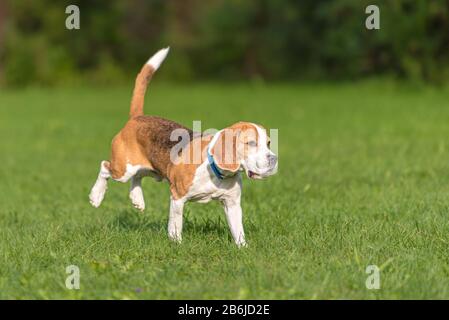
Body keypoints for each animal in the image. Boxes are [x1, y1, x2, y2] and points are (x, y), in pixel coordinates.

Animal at [88, 48, 276, 248]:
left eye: (268, 143)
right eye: (251, 143)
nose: (273, 159)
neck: (215, 171)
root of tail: (137, 118)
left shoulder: (232, 204)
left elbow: (238, 230)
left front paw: (243, 248)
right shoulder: (177, 197)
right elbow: (175, 224)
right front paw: (176, 243)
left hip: (151, 170)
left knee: (137, 177)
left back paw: (137, 199)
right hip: (123, 168)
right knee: (105, 166)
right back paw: (96, 196)